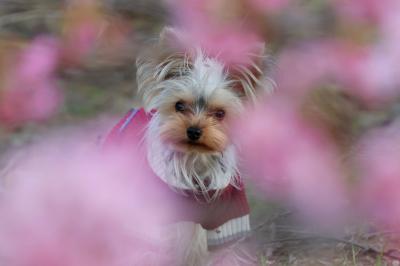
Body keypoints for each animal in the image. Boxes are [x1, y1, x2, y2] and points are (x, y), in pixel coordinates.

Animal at [103, 26, 274, 264]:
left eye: (220, 113)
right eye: (179, 105)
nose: (193, 131)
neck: (194, 161)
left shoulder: (228, 217)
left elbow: (228, 252)